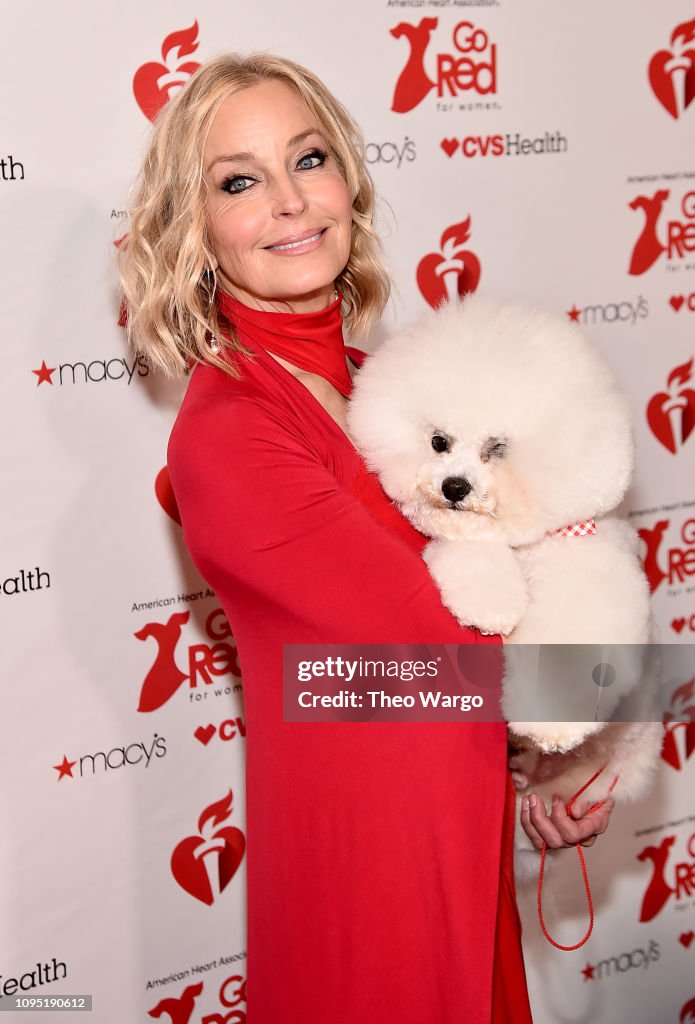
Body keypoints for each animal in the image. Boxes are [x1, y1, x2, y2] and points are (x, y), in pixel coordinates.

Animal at [348, 294, 663, 880]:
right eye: (439, 441)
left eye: (497, 448)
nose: (454, 486)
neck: (524, 550)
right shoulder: (466, 540)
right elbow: (469, 557)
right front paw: (490, 604)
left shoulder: (583, 583)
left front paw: (551, 725)